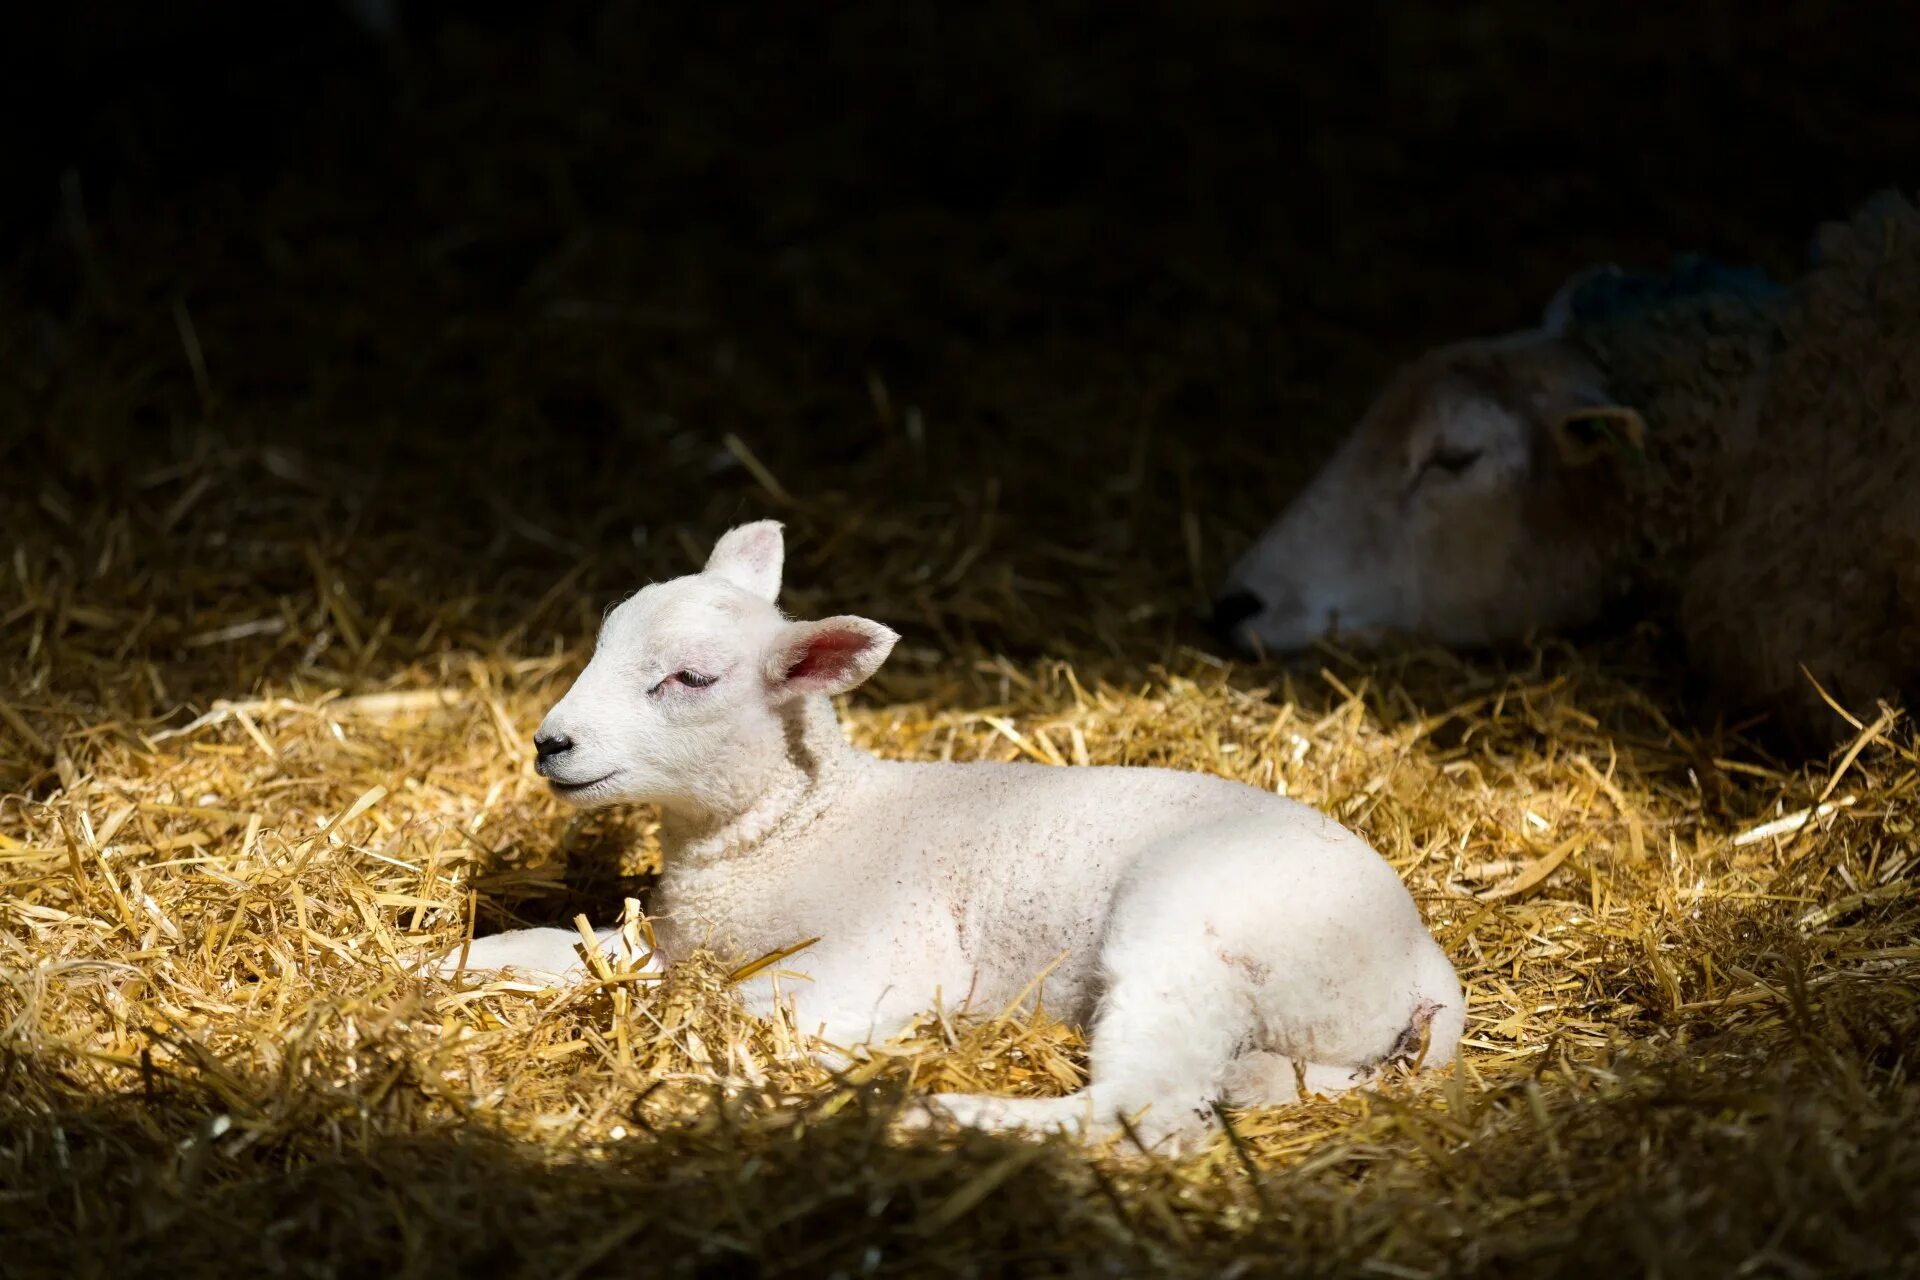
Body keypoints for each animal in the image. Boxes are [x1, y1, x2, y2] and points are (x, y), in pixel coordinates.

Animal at [435, 521, 1459, 1151]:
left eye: (688, 679)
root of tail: (1423, 964)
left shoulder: (878, 959)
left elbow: (745, 1013)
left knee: (1139, 1109)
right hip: (1296, 1033)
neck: (796, 825)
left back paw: (933, 1115)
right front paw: (439, 968)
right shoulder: (681, 940)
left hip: (1188, 935)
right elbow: (557, 947)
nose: (550, 744)